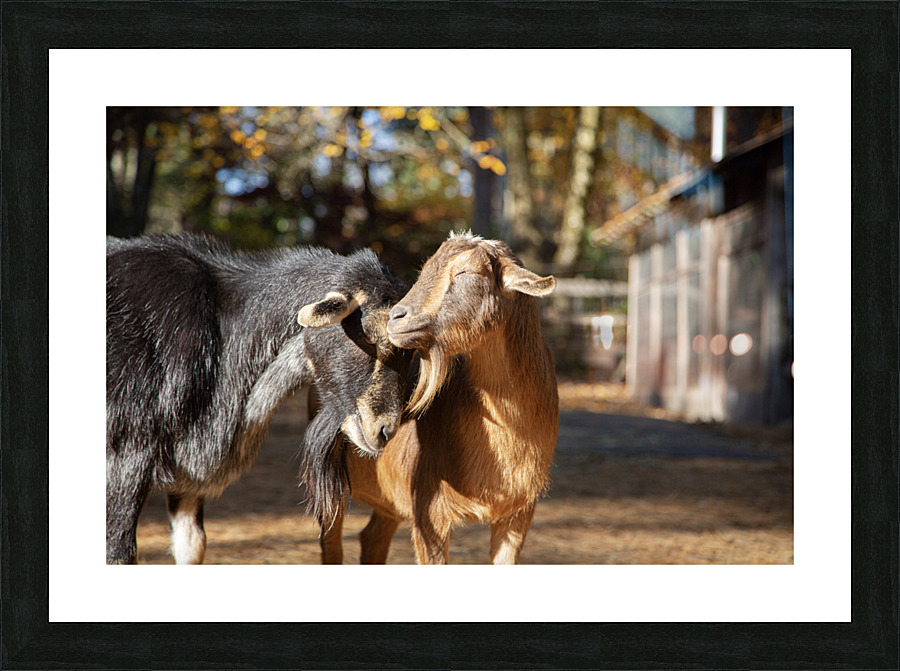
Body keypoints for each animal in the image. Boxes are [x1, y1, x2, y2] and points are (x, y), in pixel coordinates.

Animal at [106, 234, 410, 564]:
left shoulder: (188, 478)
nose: (384, 431)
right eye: (369, 337)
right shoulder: (125, 460)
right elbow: (119, 553)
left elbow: (193, 546)